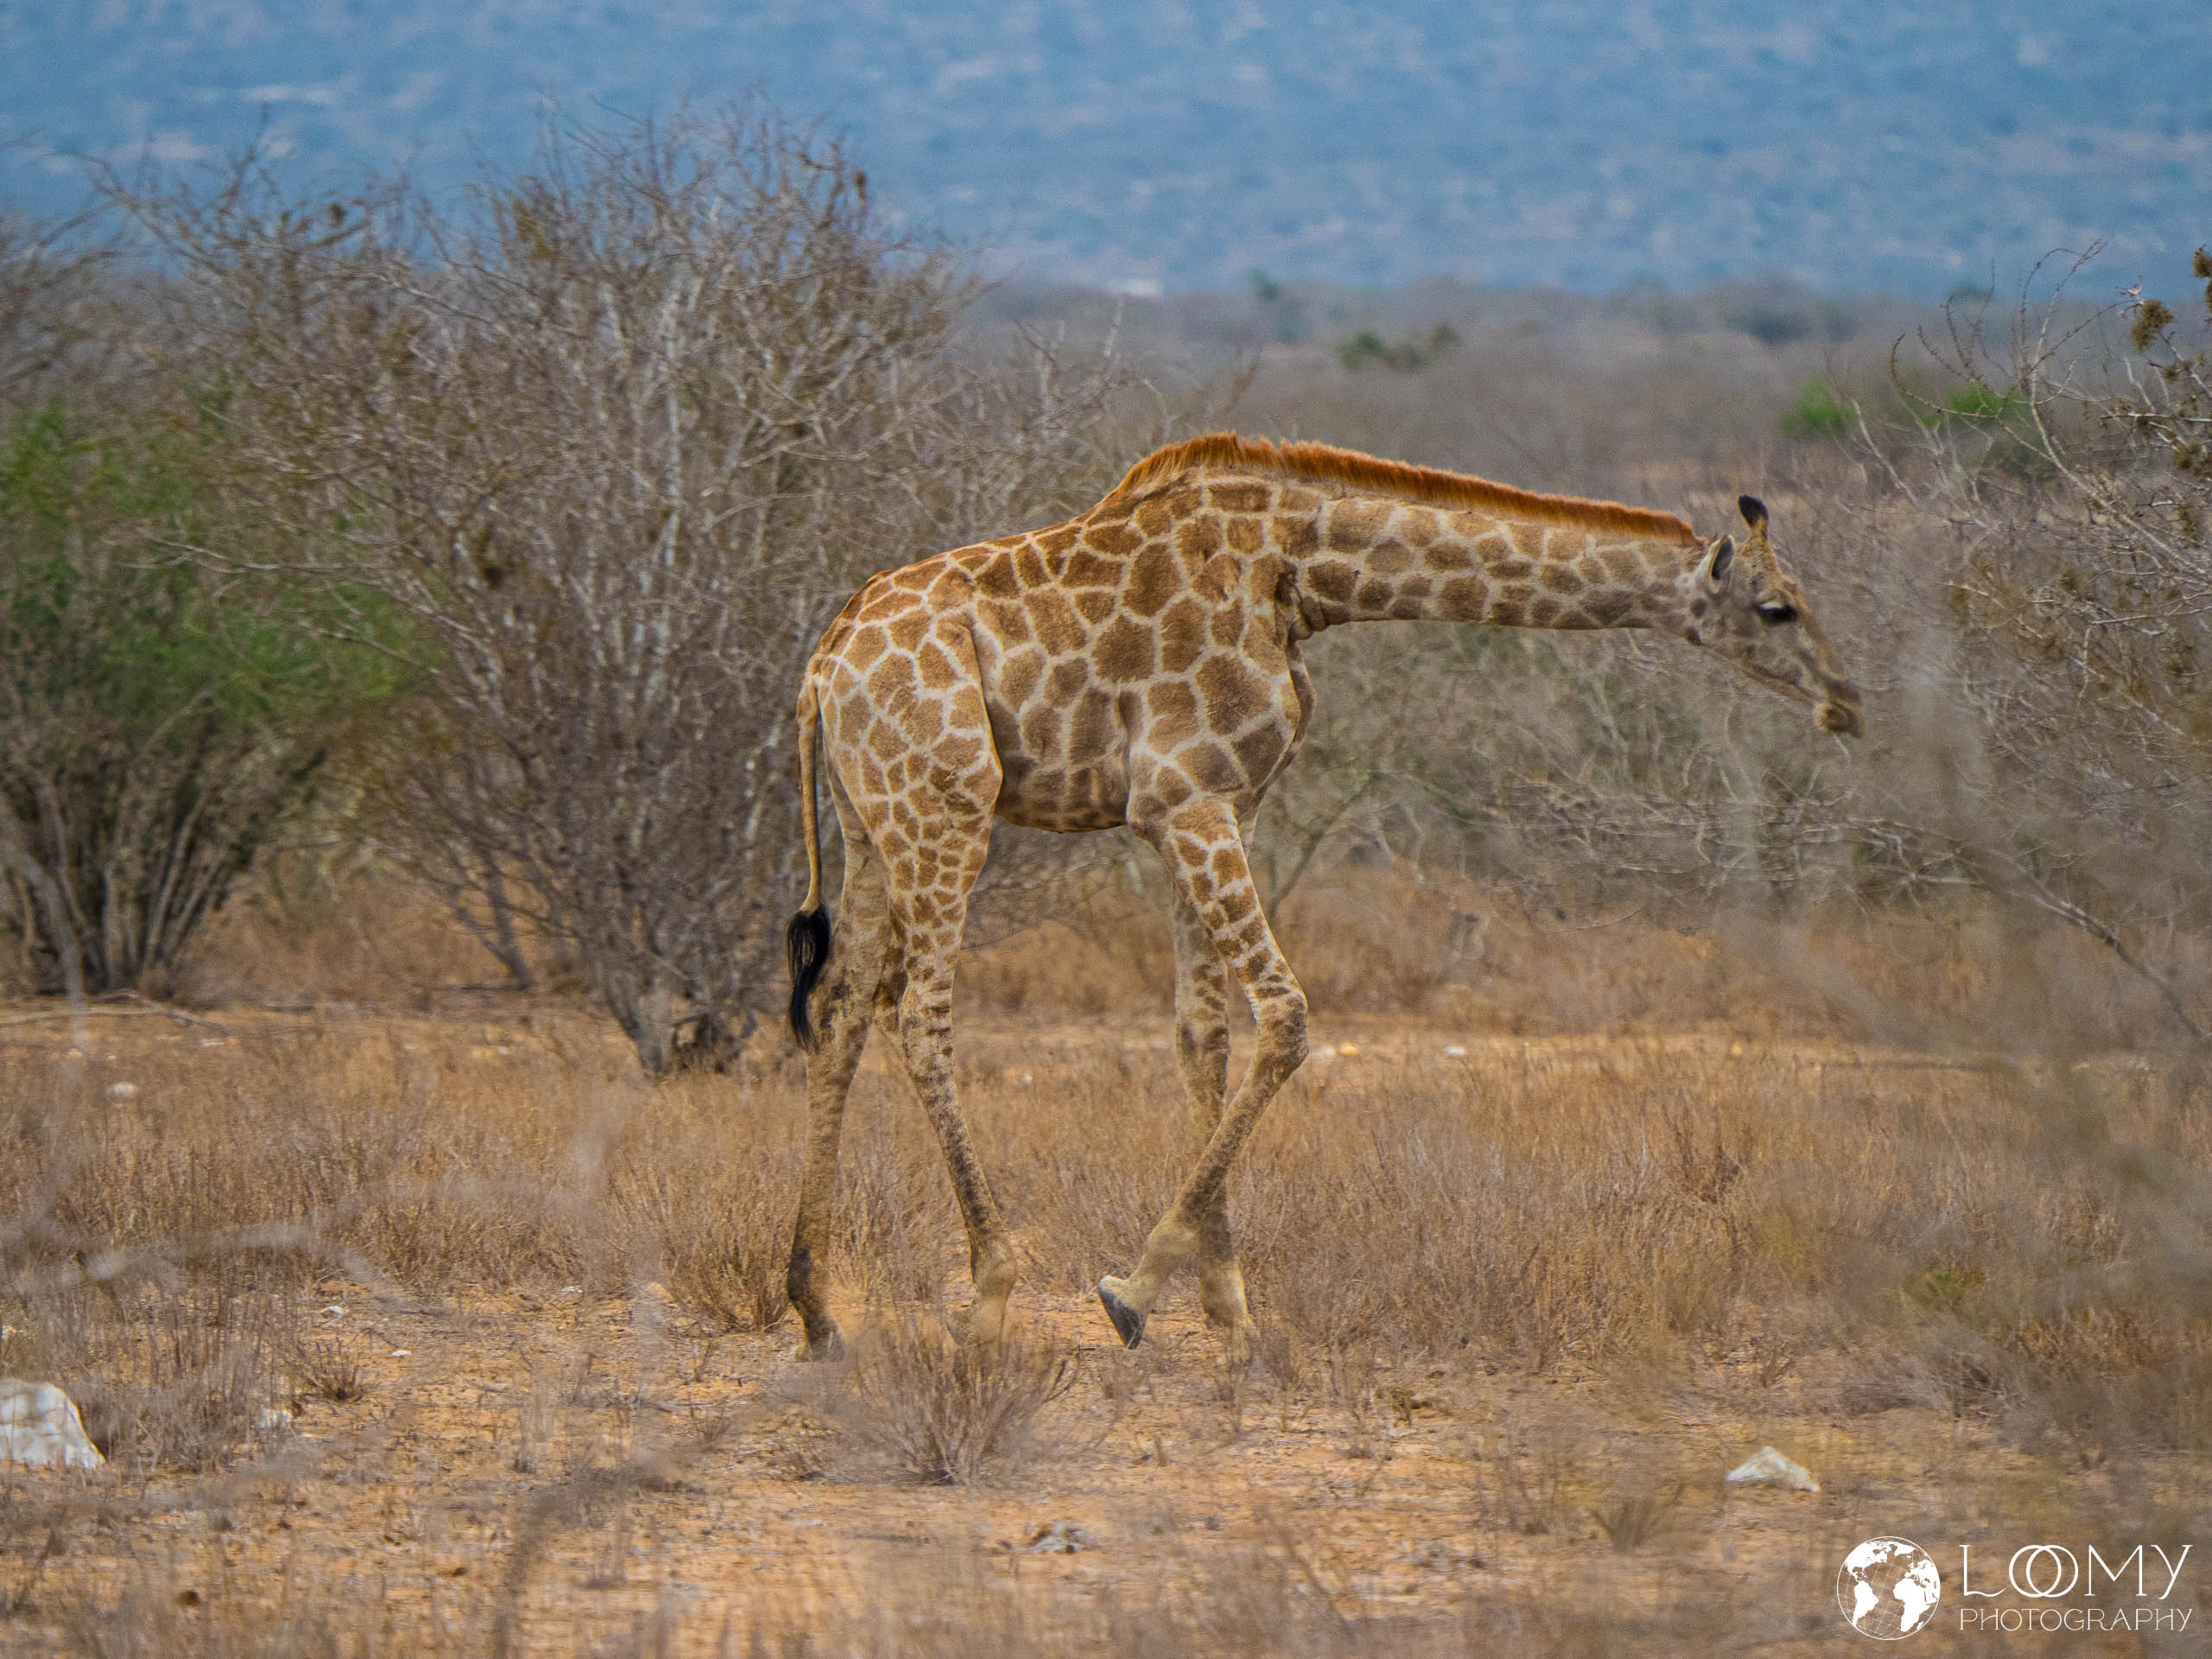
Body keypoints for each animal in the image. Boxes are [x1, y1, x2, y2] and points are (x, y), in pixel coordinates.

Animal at [781, 433, 1861, 1364]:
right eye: (1776, 607)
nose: (1847, 702)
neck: (1305, 574)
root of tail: (820, 670)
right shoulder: (1185, 795)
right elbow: (1287, 1016)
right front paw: (1136, 1290)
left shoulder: (1217, 805)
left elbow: (1201, 1034)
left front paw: (1226, 1312)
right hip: (947, 807)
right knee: (919, 1015)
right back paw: (987, 1290)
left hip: (869, 825)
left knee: (838, 1006)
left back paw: (815, 1309)